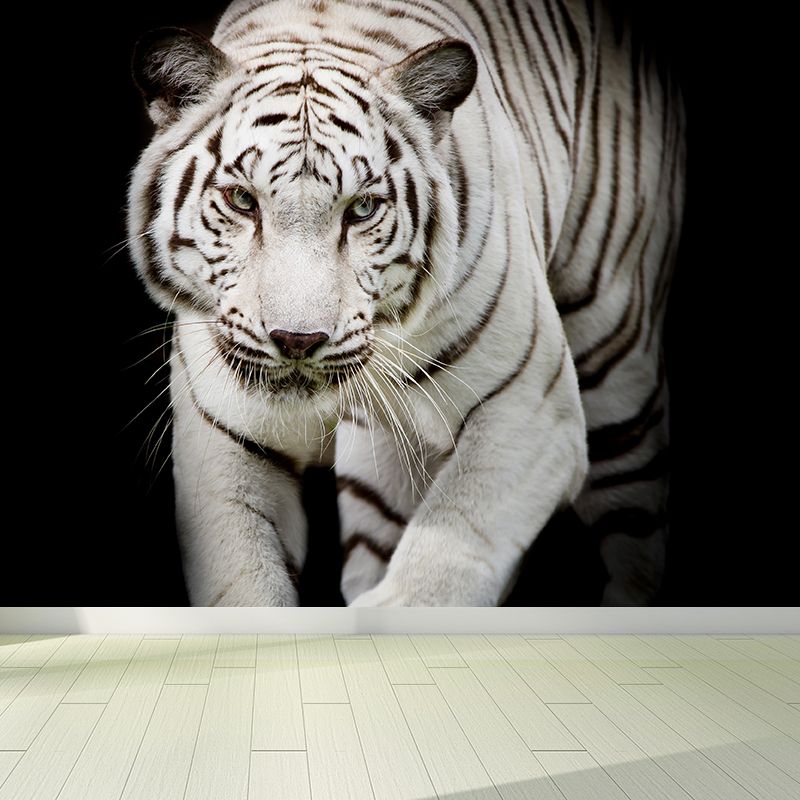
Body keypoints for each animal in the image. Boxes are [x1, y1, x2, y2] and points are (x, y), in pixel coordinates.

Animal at [127, 0, 685, 607]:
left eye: (362, 208)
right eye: (241, 200)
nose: (298, 340)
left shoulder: (531, 406)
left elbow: (443, 560)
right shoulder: (226, 441)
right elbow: (245, 585)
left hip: (617, 368)